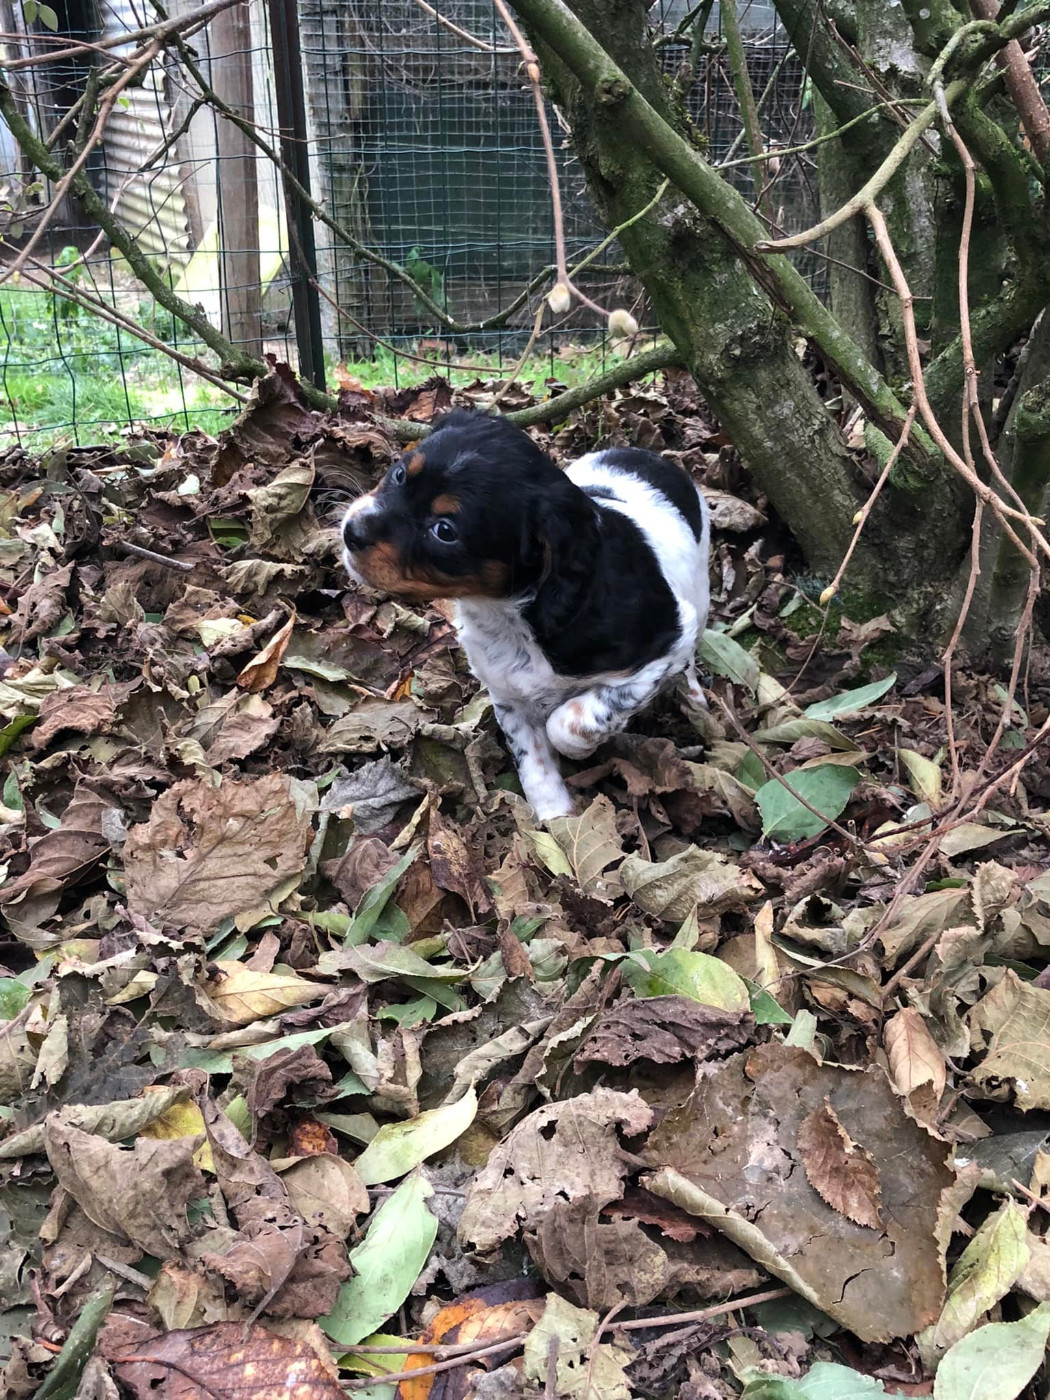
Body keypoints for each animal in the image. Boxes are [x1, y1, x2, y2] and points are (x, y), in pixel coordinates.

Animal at [342, 409, 710, 820]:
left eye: (444, 530)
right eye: (400, 474)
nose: (351, 532)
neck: (511, 615)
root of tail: (649, 456)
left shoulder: (667, 640)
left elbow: (566, 724)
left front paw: (582, 750)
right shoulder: (507, 691)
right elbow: (533, 760)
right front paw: (556, 821)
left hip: (700, 594)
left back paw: (694, 695)